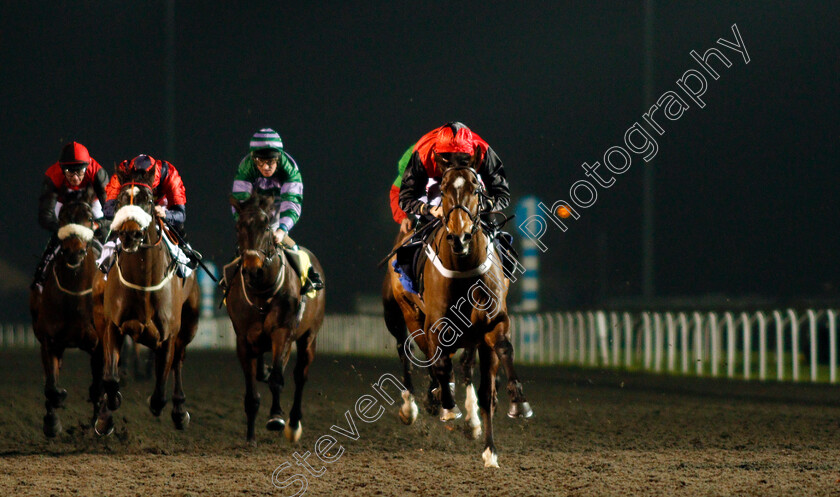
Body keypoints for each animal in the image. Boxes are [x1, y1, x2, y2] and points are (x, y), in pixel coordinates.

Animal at [29, 193, 101, 434]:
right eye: (62, 218)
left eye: (89, 218)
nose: (74, 251)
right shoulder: (49, 341)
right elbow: (51, 385)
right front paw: (52, 420)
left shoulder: (98, 344)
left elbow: (98, 386)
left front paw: (101, 423)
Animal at [93, 167, 200, 434]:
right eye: (121, 200)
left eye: (149, 200)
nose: (130, 234)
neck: (143, 282)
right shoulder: (113, 325)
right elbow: (110, 377)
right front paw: (108, 411)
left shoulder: (169, 334)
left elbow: (161, 386)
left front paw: (159, 404)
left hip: (190, 324)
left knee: (179, 362)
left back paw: (179, 411)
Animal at [228, 193, 326, 442]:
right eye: (238, 227)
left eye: (266, 227)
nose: (252, 268)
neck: (262, 294)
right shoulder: (243, 339)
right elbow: (252, 390)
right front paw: (250, 436)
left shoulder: (282, 332)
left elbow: (277, 379)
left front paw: (276, 418)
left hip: (309, 336)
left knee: (300, 375)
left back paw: (294, 423)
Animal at [382, 150, 528, 464]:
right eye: (445, 189)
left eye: (476, 189)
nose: (459, 237)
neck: (463, 267)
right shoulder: (434, 324)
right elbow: (437, 362)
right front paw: (447, 406)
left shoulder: (493, 323)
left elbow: (498, 362)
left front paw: (496, 438)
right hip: (402, 316)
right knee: (407, 351)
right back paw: (414, 405)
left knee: (459, 364)